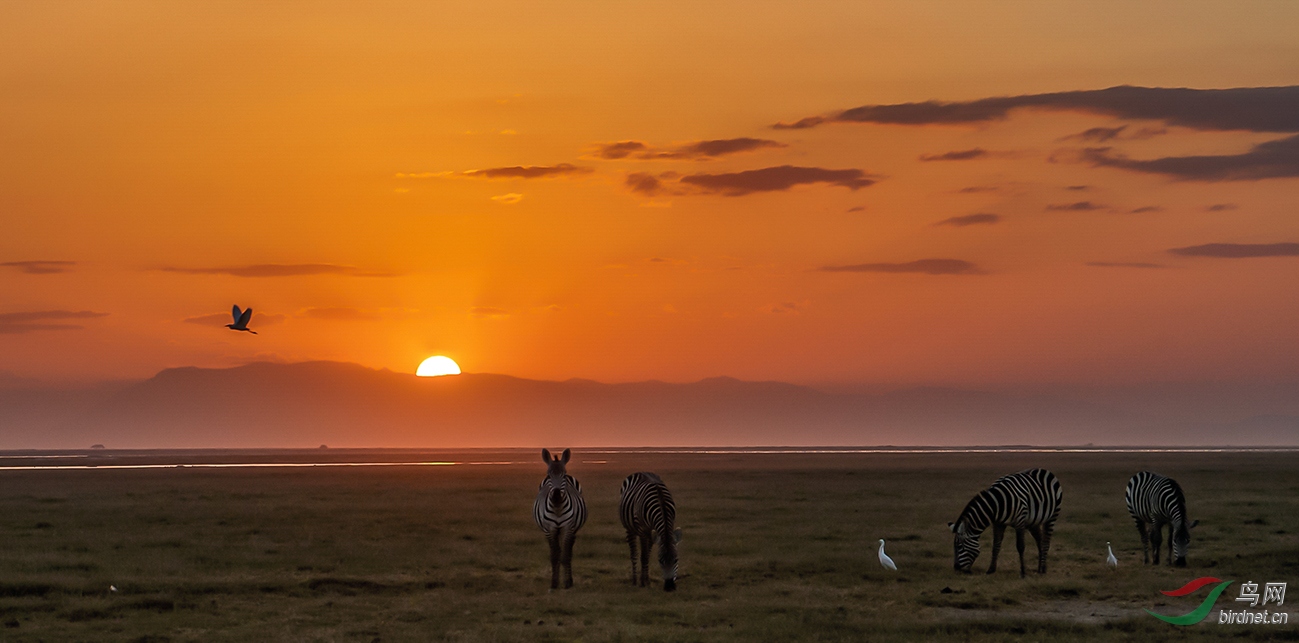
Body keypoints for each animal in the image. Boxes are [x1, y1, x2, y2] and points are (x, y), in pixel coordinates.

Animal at [529, 449, 587, 592]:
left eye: (564, 474)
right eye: (548, 475)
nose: (556, 496)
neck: (557, 508)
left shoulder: (567, 528)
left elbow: (565, 556)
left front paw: (567, 583)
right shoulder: (549, 530)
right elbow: (555, 556)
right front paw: (554, 583)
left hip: (572, 530)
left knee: (568, 552)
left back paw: (569, 579)